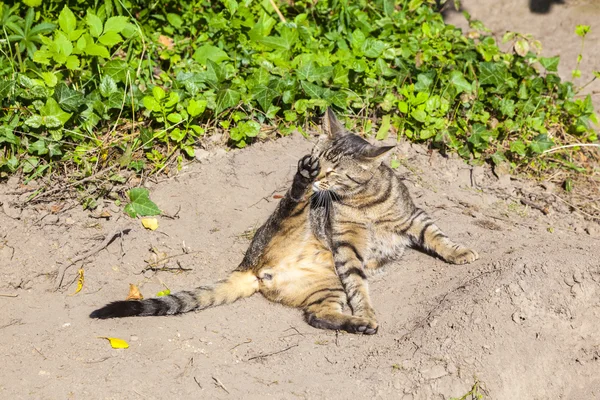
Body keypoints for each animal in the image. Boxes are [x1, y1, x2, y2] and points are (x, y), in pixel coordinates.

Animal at [90, 108, 478, 334]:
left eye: (334, 172)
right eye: (320, 160)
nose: (316, 172)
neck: (364, 202)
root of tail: (249, 266)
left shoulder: (413, 216)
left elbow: (438, 235)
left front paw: (461, 253)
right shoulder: (346, 246)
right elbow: (359, 285)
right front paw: (367, 309)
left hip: (326, 285)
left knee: (317, 315)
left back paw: (355, 325)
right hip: (294, 219)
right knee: (295, 199)